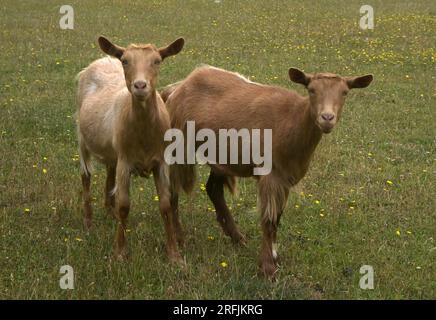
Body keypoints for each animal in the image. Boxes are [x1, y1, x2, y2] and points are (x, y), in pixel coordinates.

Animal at [76, 36, 184, 262]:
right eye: (125, 61)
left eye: (157, 61)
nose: (140, 85)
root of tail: (103, 59)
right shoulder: (125, 162)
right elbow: (124, 206)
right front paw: (119, 252)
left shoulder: (161, 162)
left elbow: (165, 205)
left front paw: (174, 255)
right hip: (81, 138)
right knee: (86, 176)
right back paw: (88, 222)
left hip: (112, 151)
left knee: (109, 173)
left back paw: (109, 213)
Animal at [162, 65, 372, 278]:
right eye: (312, 90)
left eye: (344, 92)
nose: (327, 118)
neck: (292, 121)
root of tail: (176, 89)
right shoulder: (270, 176)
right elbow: (269, 221)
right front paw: (268, 267)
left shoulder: (286, 177)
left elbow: (277, 218)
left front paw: (274, 257)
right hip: (177, 146)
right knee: (172, 191)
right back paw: (179, 237)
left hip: (221, 155)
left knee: (213, 189)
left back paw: (237, 237)